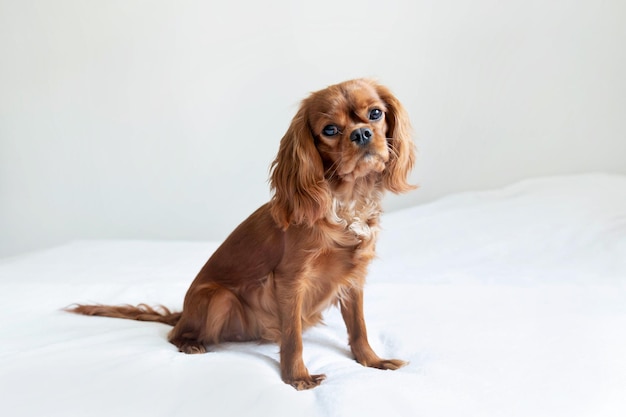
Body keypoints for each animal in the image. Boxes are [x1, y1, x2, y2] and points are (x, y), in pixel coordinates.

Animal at [67, 79, 414, 390]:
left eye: (375, 114)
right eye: (330, 130)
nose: (362, 133)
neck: (347, 202)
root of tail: (182, 315)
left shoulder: (353, 277)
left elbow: (358, 327)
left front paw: (373, 361)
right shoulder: (291, 281)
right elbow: (293, 337)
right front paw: (297, 378)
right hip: (219, 298)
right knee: (175, 335)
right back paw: (191, 343)